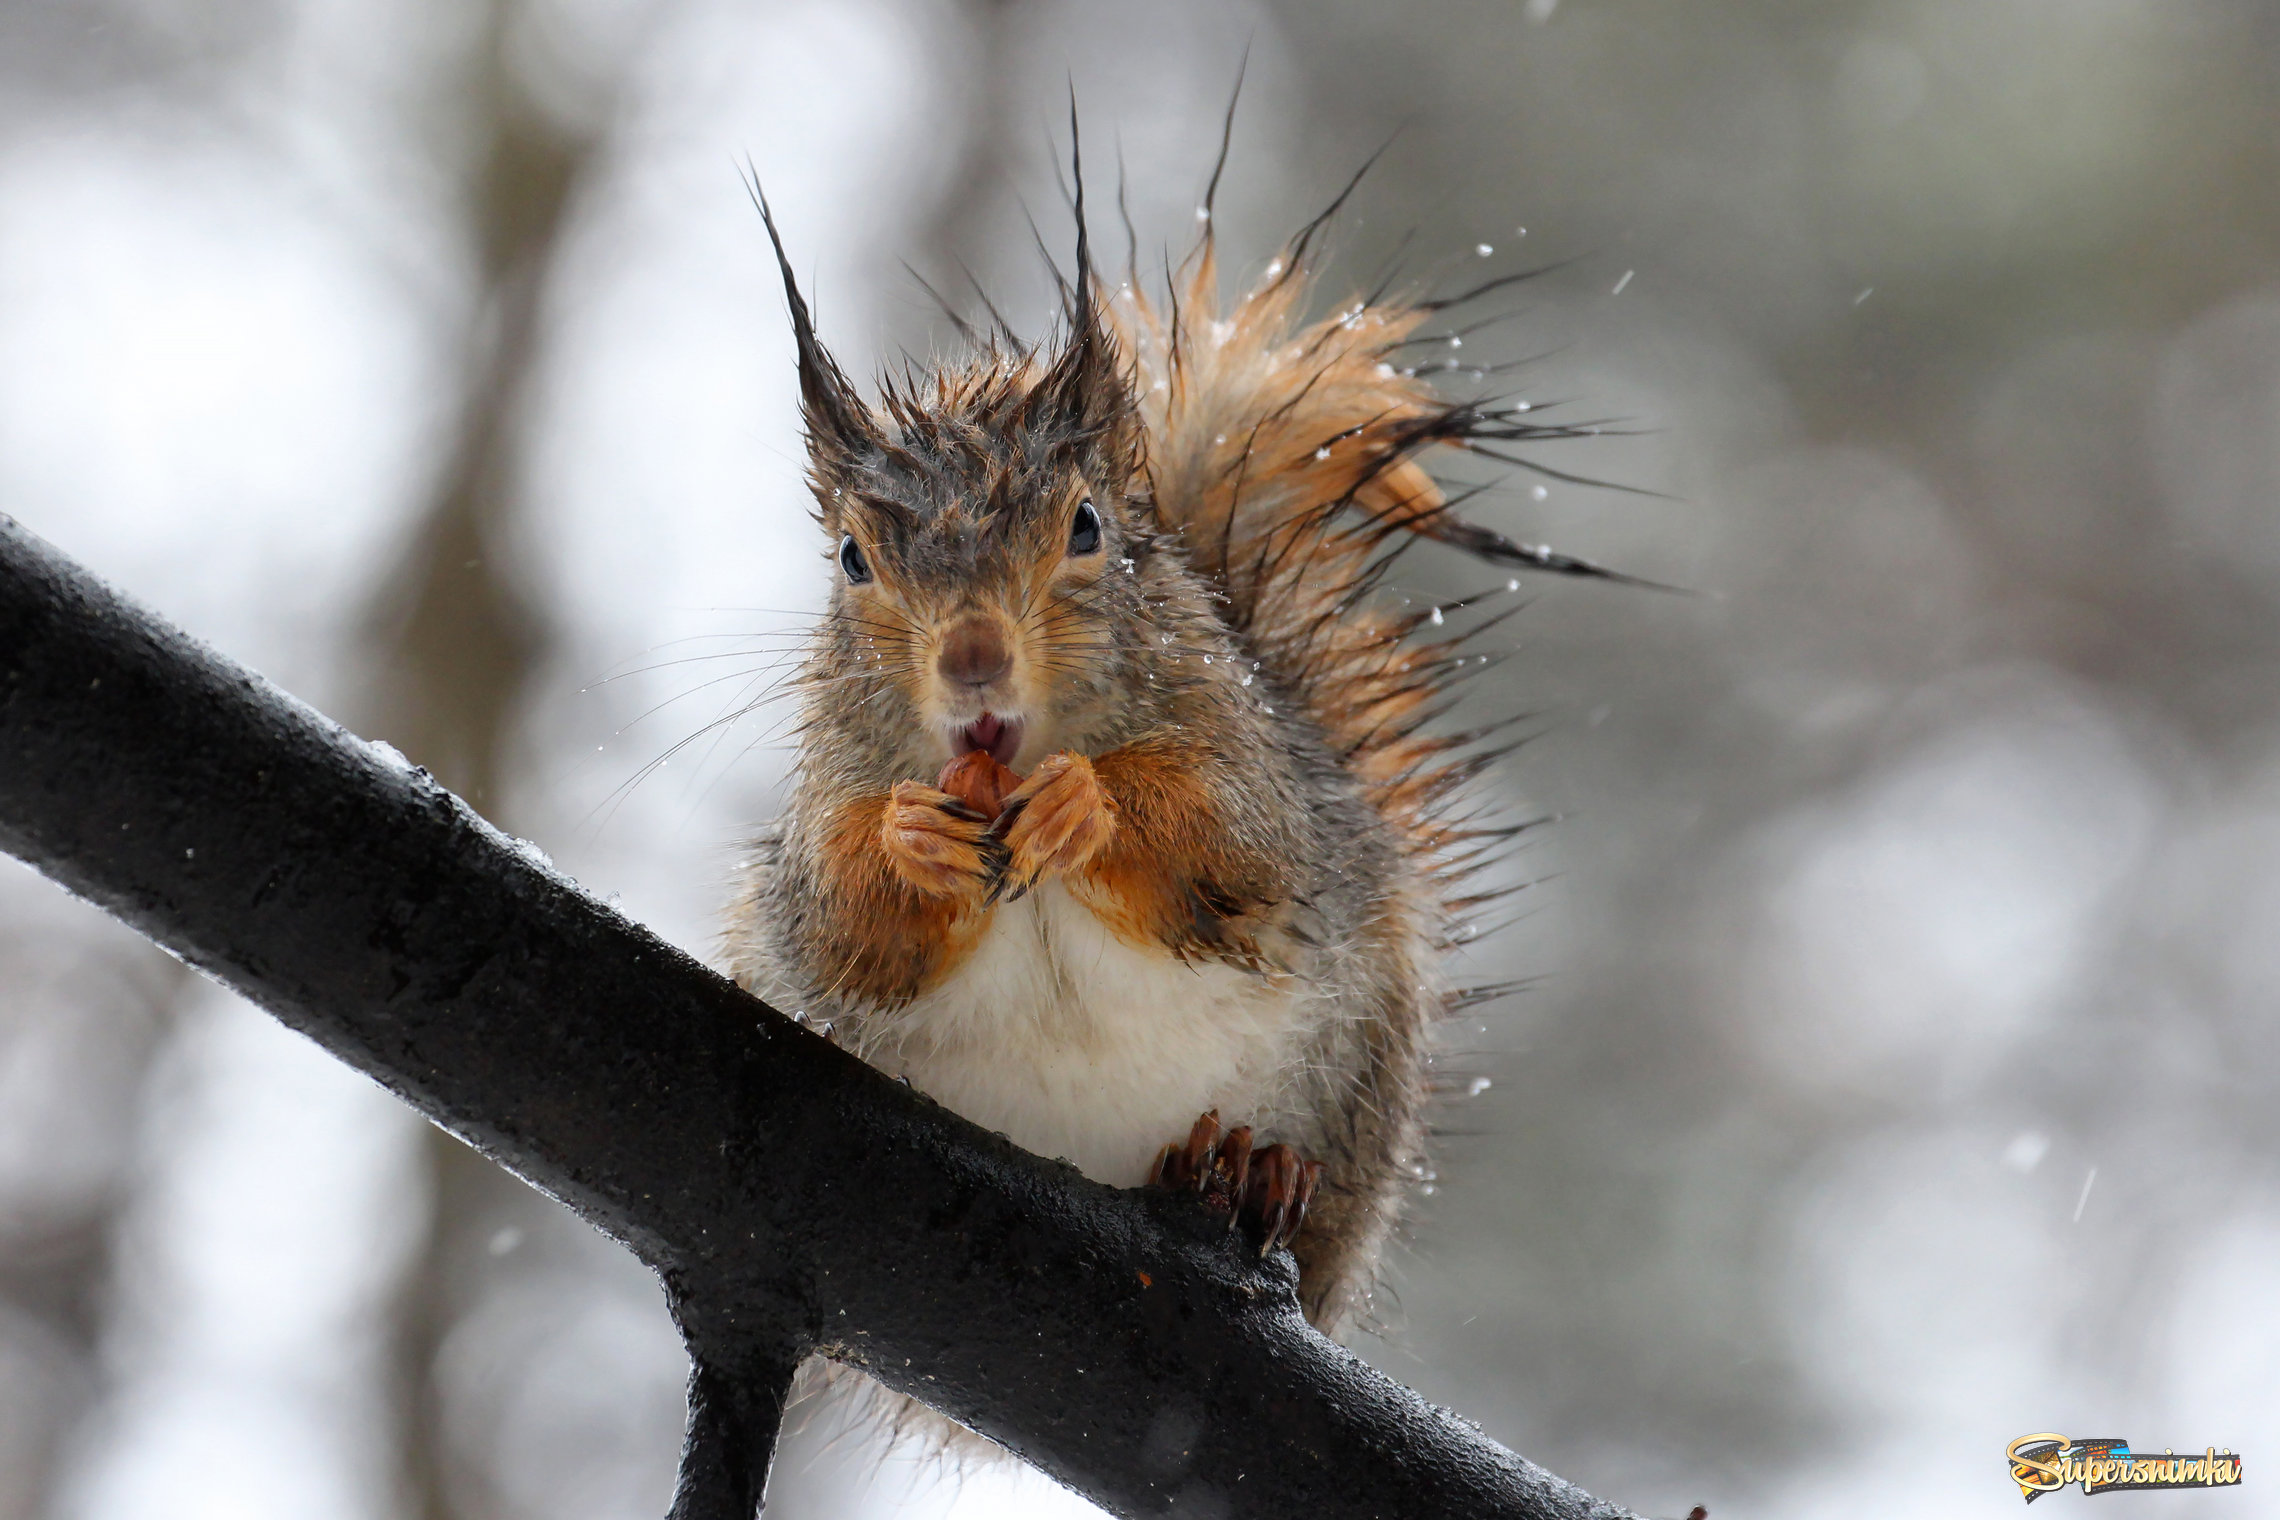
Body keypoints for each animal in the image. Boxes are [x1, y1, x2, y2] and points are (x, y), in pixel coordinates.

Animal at [720, 136, 1632, 1358]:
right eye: (853, 560)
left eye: (1087, 527)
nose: (972, 657)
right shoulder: (821, 814)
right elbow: (840, 928)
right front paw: (914, 837)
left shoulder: (1257, 774)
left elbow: (1227, 842)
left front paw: (1087, 804)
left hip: (1365, 1077)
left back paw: (1246, 1172)